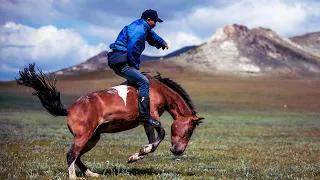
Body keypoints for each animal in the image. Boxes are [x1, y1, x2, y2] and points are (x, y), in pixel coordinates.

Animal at [16, 63, 204, 179]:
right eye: (189, 130)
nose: (178, 151)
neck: (159, 90)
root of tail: (69, 109)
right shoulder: (152, 116)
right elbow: (162, 133)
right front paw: (140, 152)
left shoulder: (146, 122)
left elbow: (153, 140)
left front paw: (137, 155)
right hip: (84, 137)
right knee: (71, 155)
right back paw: (74, 177)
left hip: (93, 138)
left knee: (77, 156)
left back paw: (91, 174)